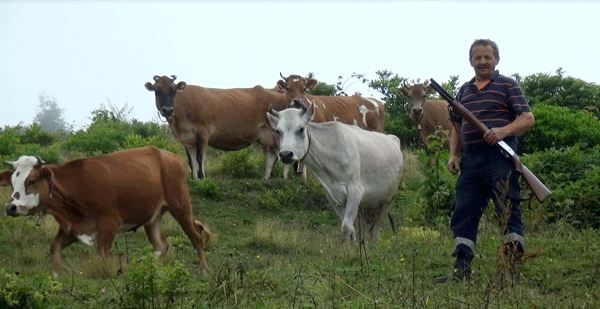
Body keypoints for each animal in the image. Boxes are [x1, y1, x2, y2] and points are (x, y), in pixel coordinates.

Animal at [0, 146, 211, 276]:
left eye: (31, 181)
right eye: (12, 183)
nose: (10, 207)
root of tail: (169, 156)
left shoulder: (109, 224)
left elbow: (101, 258)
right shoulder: (72, 227)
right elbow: (55, 247)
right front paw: (56, 274)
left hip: (180, 205)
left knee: (195, 236)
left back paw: (203, 270)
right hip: (153, 216)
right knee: (161, 246)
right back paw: (156, 271)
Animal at [146, 75, 294, 179]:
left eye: (173, 90)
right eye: (157, 91)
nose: (167, 109)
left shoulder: (203, 132)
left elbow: (200, 157)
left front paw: (201, 177)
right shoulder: (187, 139)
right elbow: (191, 161)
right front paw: (194, 179)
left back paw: (285, 177)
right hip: (265, 136)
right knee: (271, 156)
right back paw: (266, 178)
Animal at [268, 100, 404, 242]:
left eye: (300, 129)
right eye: (277, 131)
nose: (285, 154)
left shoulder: (355, 191)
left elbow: (346, 228)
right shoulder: (333, 197)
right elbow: (350, 229)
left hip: (387, 200)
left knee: (376, 229)